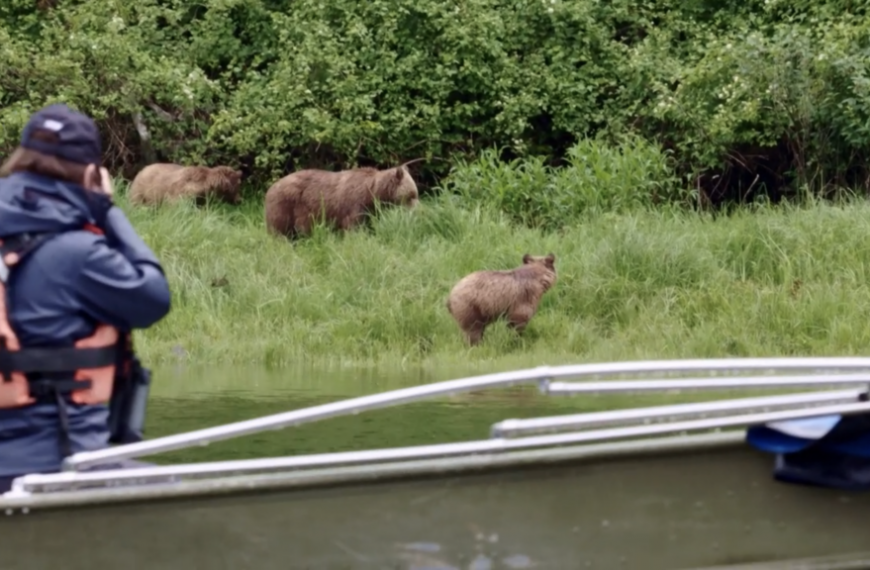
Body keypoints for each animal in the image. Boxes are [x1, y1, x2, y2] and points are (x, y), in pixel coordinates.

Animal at [263, 164, 419, 238]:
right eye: (411, 195)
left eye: (415, 193)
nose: (418, 211)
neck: (373, 193)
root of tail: (270, 189)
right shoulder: (355, 204)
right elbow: (353, 226)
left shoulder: (370, 210)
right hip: (285, 205)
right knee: (280, 230)